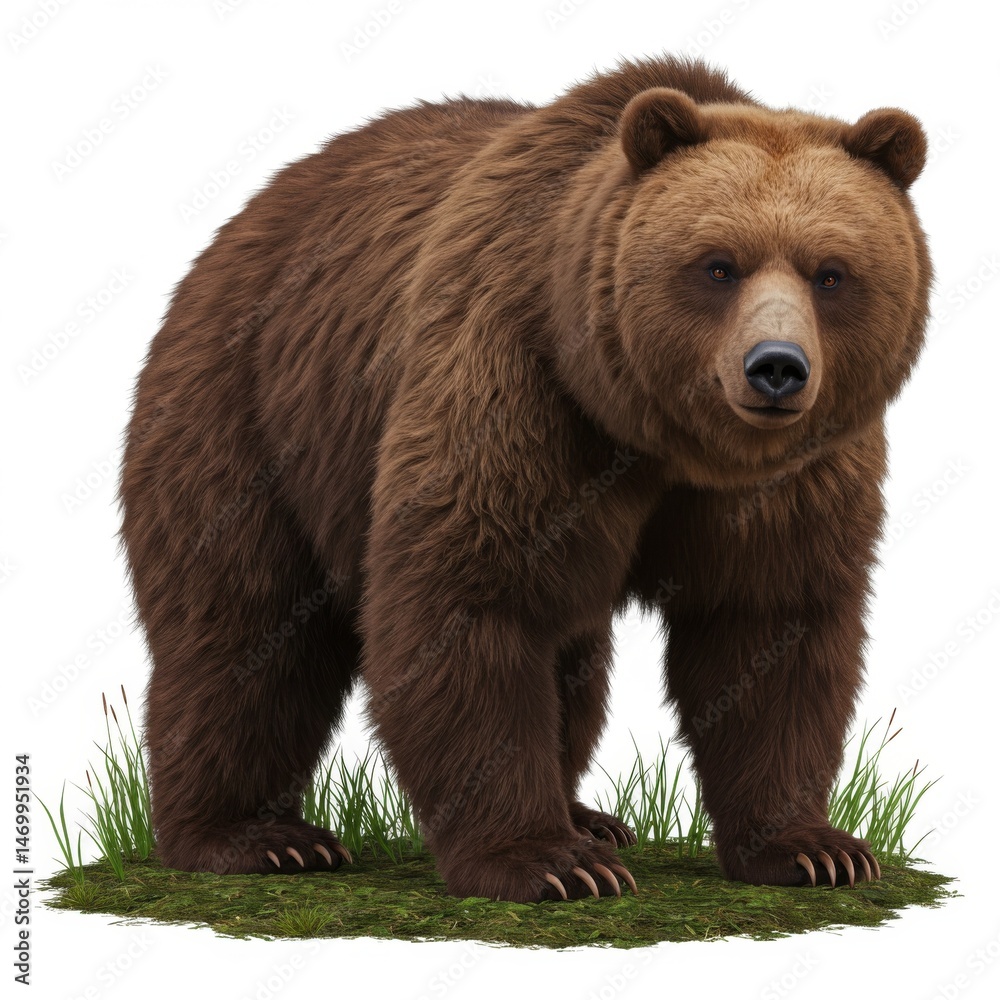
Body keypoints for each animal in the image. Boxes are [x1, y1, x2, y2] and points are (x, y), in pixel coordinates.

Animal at [119, 55, 931, 903]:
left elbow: (769, 623)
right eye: (717, 265)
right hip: (251, 413)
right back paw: (255, 838)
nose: (775, 367)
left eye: (831, 273)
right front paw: (546, 862)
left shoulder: (787, 480)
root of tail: (244, 222)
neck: (656, 434)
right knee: (245, 631)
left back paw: (590, 817)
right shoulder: (516, 381)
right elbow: (470, 598)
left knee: (574, 659)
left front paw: (813, 848)